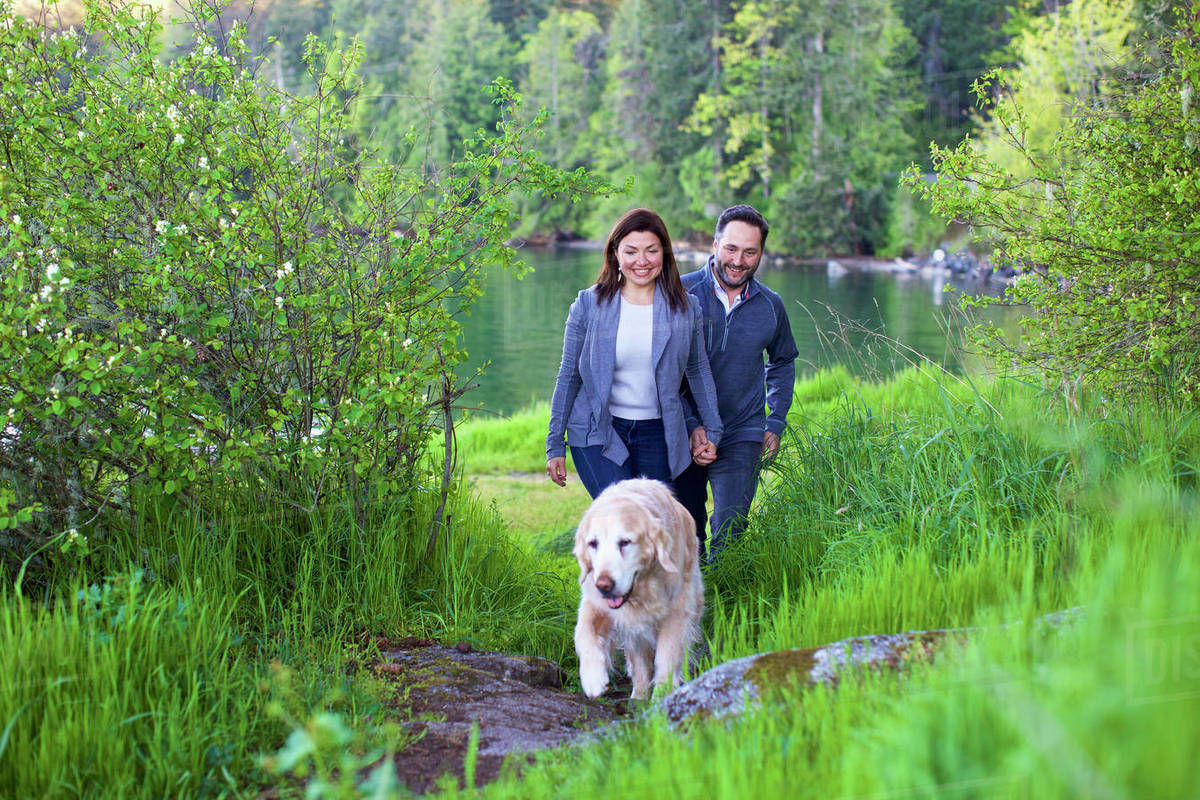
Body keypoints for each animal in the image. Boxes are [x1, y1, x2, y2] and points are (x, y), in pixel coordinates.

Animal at [571, 479, 700, 695]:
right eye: (593, 543)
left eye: (625, 542)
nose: (604, 586)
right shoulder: (595, 602)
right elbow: (583, 632)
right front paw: (592, 679)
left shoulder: (677, 609)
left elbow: (667, 656)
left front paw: (662, 696)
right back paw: (638, 695)